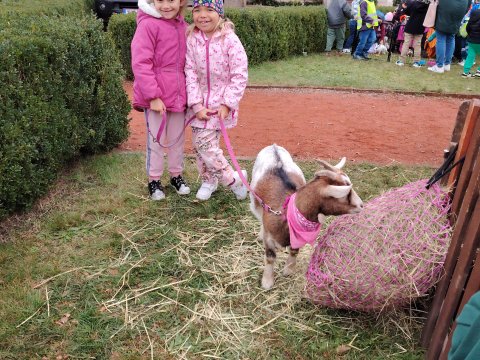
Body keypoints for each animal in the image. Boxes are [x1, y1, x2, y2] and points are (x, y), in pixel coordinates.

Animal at [249, 144, 362, 290]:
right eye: (346, 194)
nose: (361, 205)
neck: (286, 212)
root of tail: (274, 146)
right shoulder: (269, 239)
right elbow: (270, 257)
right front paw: (267, 282)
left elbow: (294, 251)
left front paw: (288, 271)